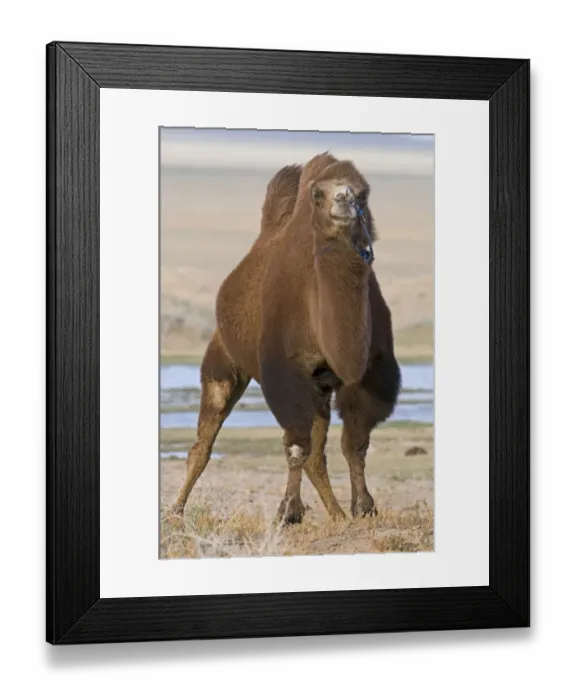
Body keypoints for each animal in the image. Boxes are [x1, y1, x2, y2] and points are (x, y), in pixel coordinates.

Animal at [172, 152, 402, 524]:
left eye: (364, 194)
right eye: (318, 194)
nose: (345, 200)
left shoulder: (368, 376)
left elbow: (354, 443)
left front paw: (364, 508)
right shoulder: (287, 375)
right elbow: (296, 446)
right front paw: (289, 512)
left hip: (320, 388)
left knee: (317, 453)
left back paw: (337, 514)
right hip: (225, 358)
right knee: (204, 441)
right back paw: (175, 510)